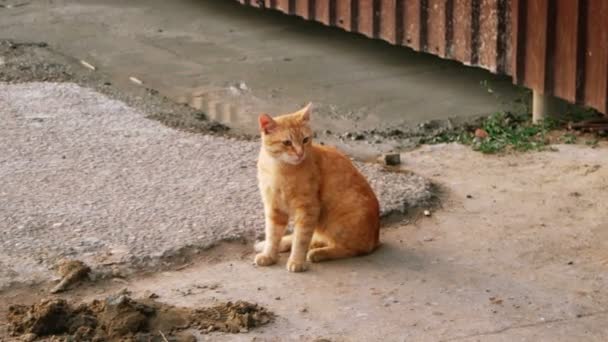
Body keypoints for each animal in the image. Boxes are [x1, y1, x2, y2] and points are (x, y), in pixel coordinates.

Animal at [253, 103, 378, 272]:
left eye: (305, 140)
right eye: (287, 143)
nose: (300, 153)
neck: (278, 169)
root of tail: (377, 237)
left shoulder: (308, 209)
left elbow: (301, 239)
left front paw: (296, 261)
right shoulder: (274, 207)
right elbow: (273, 235)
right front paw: (269, 255)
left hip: (339, 223)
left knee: (352, 248)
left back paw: (319, 253)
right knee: (316, 239)